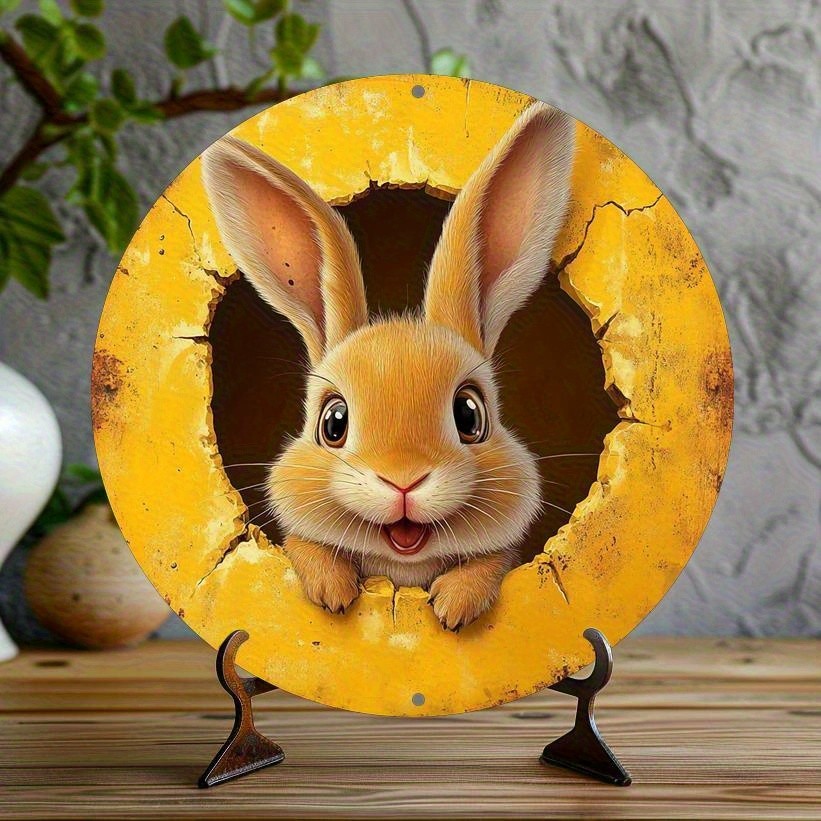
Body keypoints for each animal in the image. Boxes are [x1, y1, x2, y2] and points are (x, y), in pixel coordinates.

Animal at [202, 101, 576, 630]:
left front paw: (455, 606)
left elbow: (491, 561)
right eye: (333, 422)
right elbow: (303, 544)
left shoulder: (504, 553)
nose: (403, 480)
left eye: (470, 415)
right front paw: (333, 592)